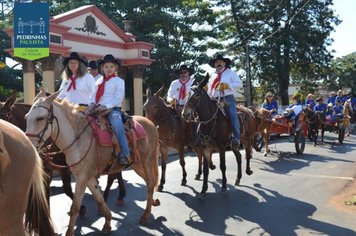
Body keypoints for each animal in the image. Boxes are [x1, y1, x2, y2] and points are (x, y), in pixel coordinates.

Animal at [27, 91, 161, 236]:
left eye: (40, 118)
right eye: (26, 117)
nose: (29, 145)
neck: (77, 138)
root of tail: (150, 123)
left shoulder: (82, 178)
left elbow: (75, 207)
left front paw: (70, 230)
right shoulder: (89, 177)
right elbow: (99, 199)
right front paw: (107, 223)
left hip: (147, 161)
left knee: (150, 184)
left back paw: (145, 215)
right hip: (137, 164)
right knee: (149, 183)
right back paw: (151, 203)